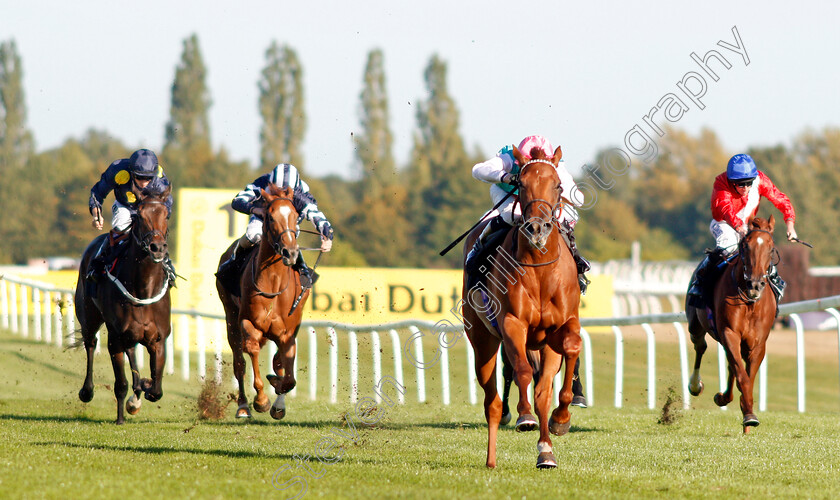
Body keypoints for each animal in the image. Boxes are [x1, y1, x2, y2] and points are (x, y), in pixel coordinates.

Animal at [74, 183, 173, 422]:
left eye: (166, 214)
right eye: (139, 216)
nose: (157, 247)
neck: (143, 289)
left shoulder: (158, 339)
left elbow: (156, 389)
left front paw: (143, 387)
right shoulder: (115, 338)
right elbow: (120, 383)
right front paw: (121, 416)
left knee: (132, 352)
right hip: (88, 316)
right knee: (90, 344)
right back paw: (87, 391)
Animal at [217, 183, 308, 418]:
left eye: (295, 215)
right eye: (270, 217)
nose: (290, 252)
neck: (273, 283)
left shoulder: (287, 332)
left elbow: (287, 372)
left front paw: (278, 397)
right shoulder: (248, 321)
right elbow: (252, 348)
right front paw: (261, 400)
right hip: (230, 316)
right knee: (239, 362)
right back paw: (243, 406)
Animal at [462, 144, 580, 468]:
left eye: (558, 185)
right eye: (521, 184)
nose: (537, 228)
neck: (540, 269)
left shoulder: (562, 325)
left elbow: (570, 350)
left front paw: (560, 420)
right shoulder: (513, 323)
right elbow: (523, 371)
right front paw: (524, 416)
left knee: (542, 389)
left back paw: (545, 451)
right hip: (482, 340)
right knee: (492, 399)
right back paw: (492, 457)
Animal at [684, 217, 776, 432]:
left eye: (771, 248)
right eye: (745, 246)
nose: (755, 285)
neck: (750, 303)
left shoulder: (758, 343)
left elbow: (748, 376)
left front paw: (747, 416)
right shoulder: (729, 333)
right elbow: (742, 376)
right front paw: (749, 416)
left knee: (730, 363)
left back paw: (724, 397)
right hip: (695, 325)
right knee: (700, 347)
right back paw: (696, 385)